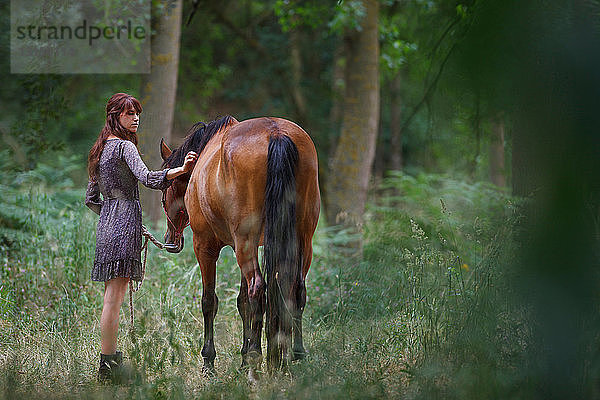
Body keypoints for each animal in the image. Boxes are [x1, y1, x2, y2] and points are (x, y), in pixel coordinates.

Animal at [158, 115, 318, 372]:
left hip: (246, 243)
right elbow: (242, 302)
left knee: (258, 289)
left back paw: (257, 357)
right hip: (301, 238)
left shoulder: (205, 247)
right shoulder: (240, 246)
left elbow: (209, 301)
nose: (169, 240)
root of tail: (276, 133)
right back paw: (294, 354)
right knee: (295, 288)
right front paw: (243, 357)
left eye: (165, 194)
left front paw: (209, 360)